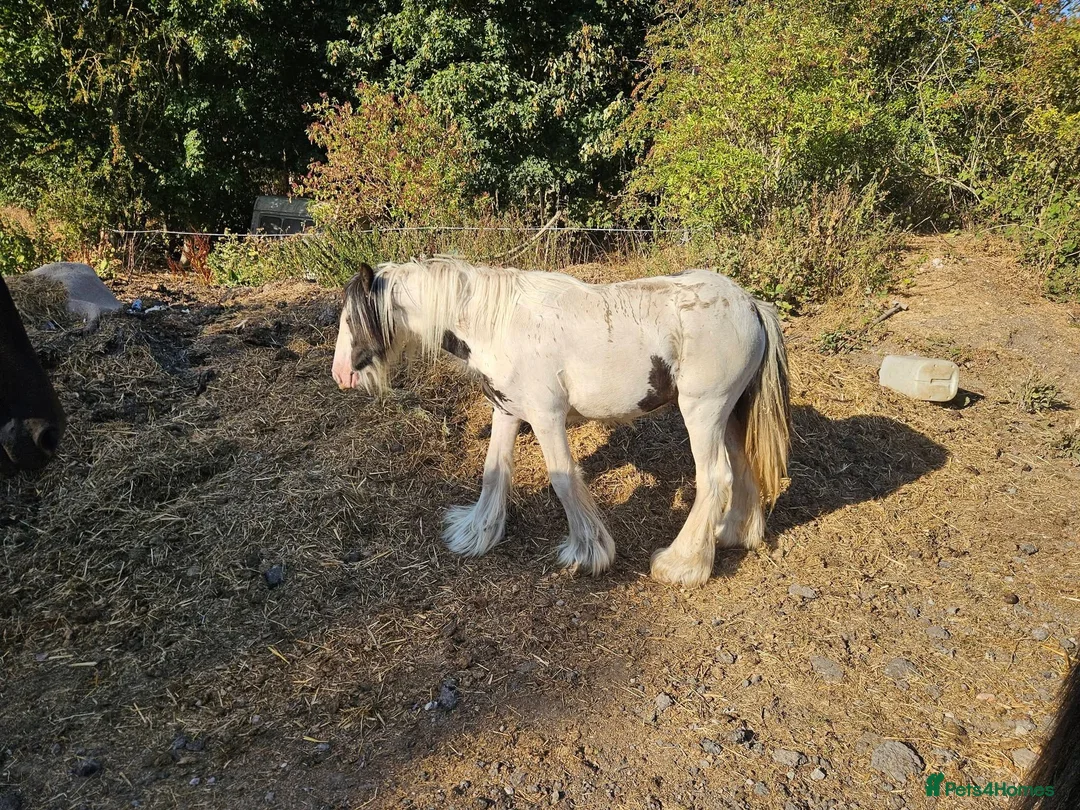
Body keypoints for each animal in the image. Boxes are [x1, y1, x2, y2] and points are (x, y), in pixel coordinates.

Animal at [331, 257, 790, 587]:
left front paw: (589, 553)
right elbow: (494, 472)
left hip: (703, 412)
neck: (497, 324)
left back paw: (682, 566)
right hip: (727, 414)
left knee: (714, 478)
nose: (340, 375)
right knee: (742, 468)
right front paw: (475, 533)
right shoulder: (507, 411)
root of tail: (751, 304)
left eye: (352, 319)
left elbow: (563, 478)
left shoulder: (546, 417)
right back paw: (734, 533)